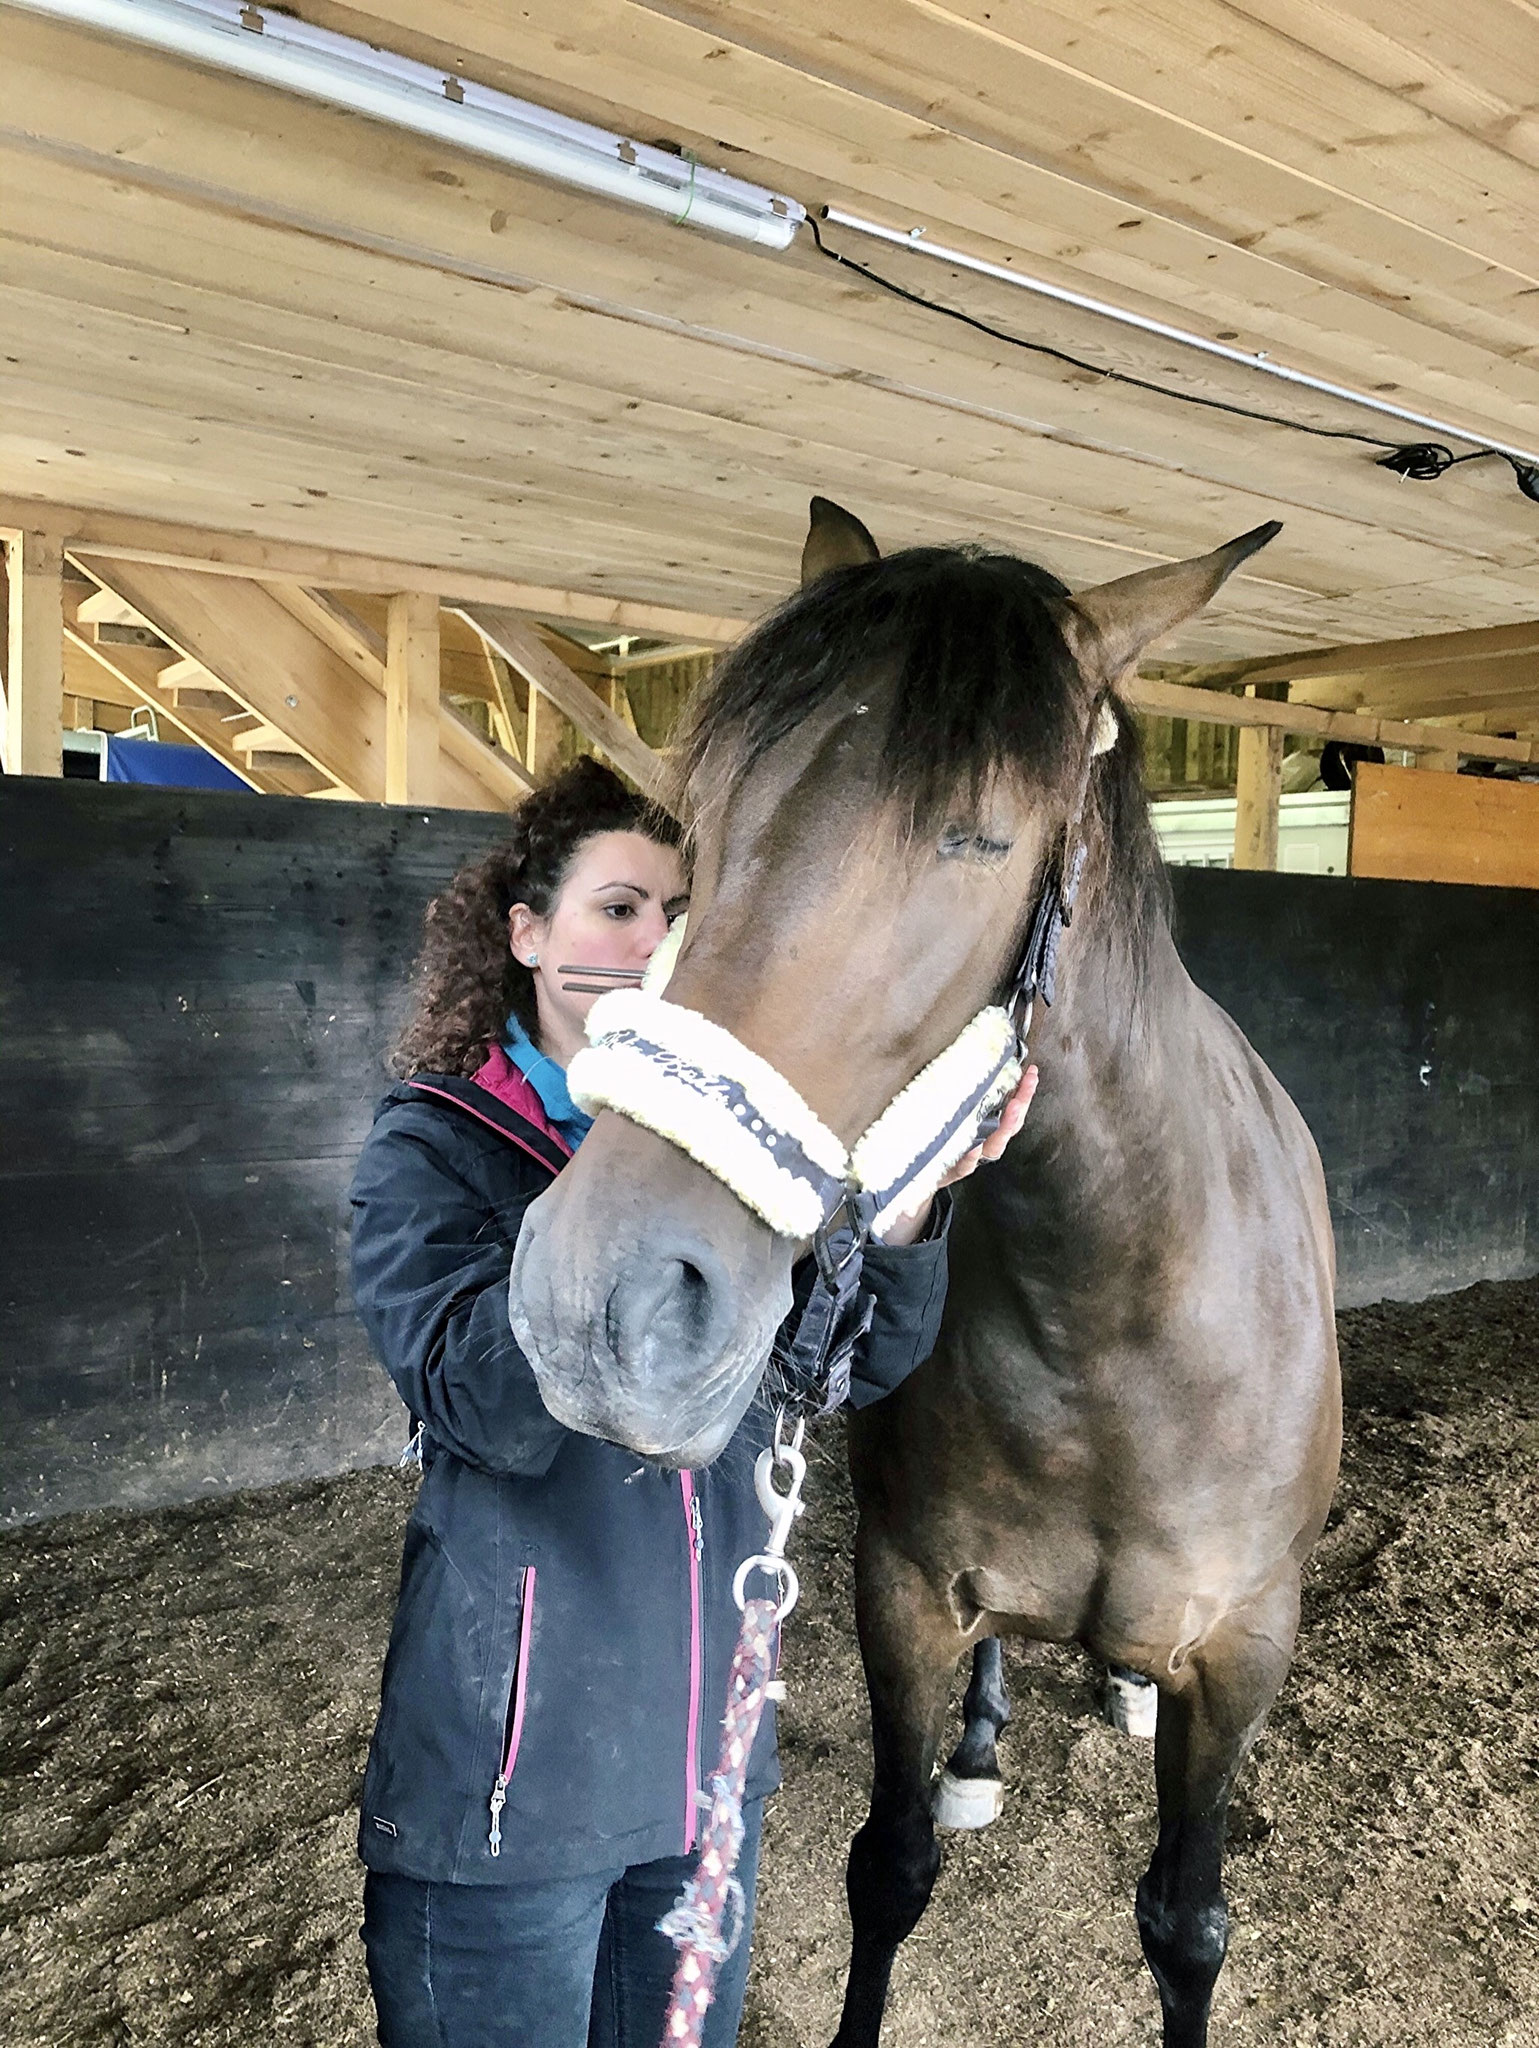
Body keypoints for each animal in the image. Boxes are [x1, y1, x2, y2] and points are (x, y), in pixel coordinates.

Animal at [511, 499, 1342, 2045]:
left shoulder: (1245, 1649)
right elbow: (885, 1869)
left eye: (979, 836)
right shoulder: (900, 1598)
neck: (1113, 1319)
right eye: (707, 819)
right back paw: (985, 1744)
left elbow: (1187, 1923)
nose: (598, 1304)